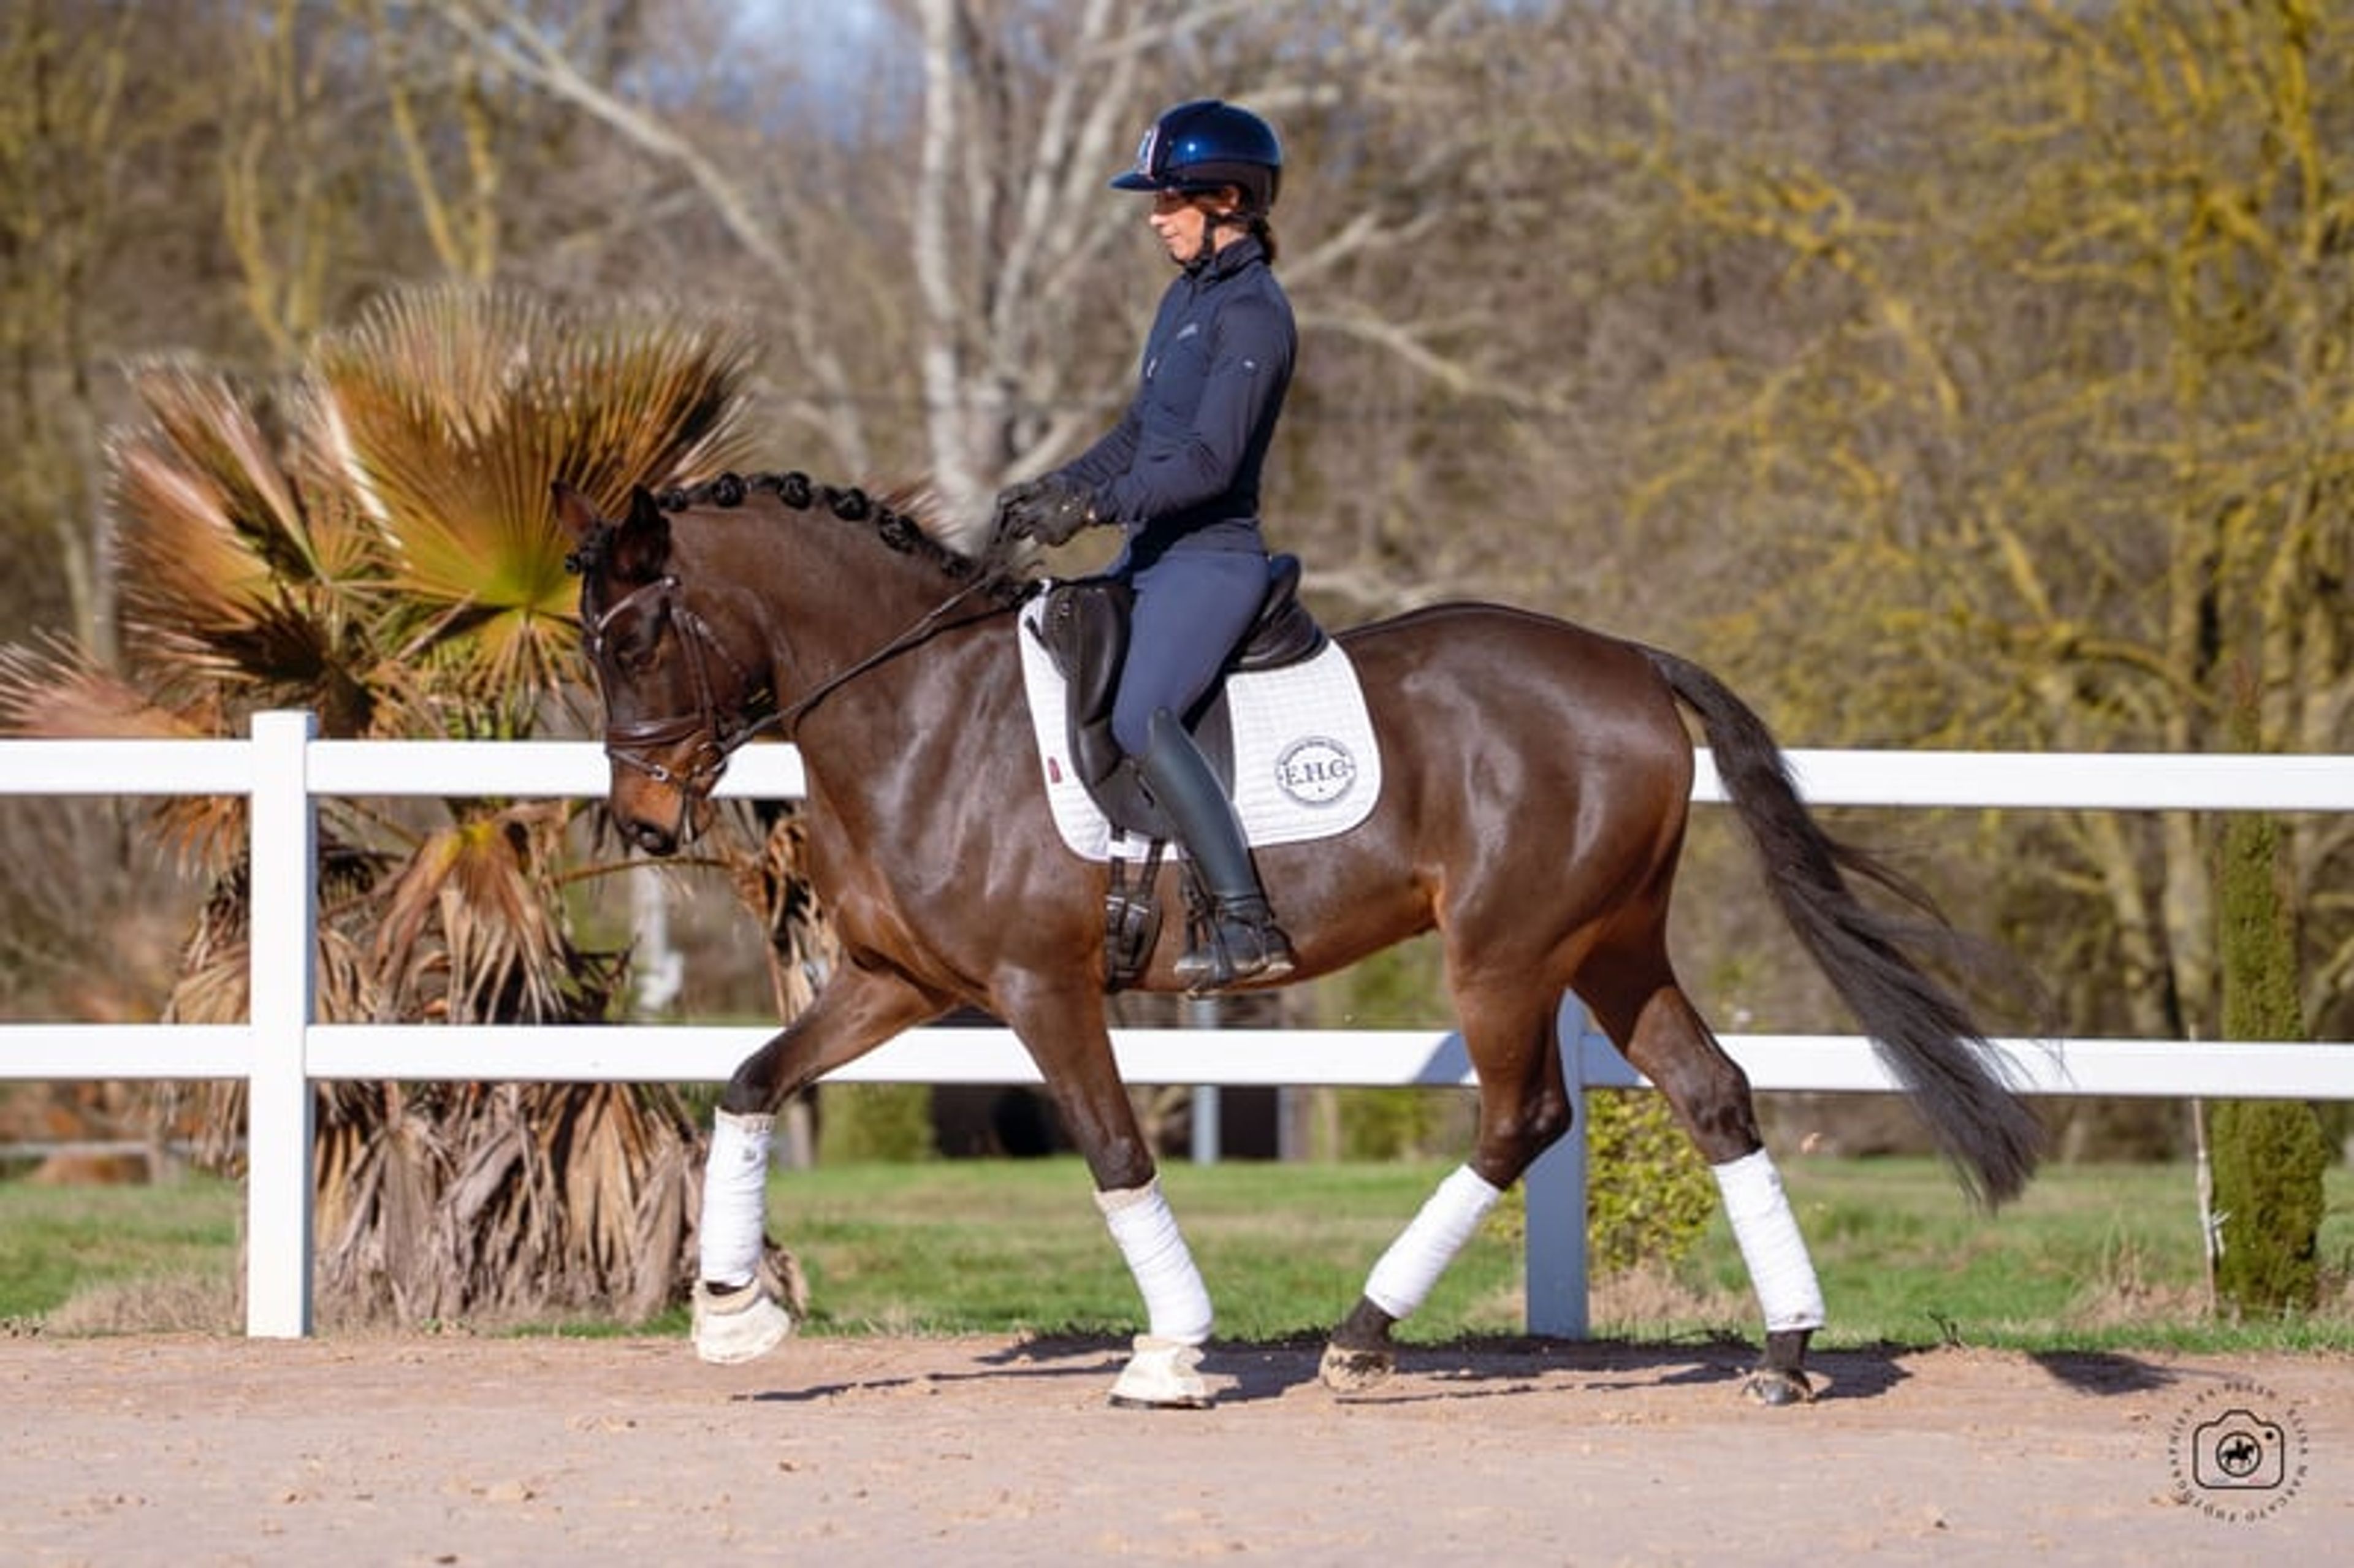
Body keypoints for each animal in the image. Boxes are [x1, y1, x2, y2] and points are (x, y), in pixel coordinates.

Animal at [552, 470, 2044, 1408]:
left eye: (631, 641)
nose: (640, 822)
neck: (921, 708)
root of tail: (1626, 660)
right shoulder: (899, 982)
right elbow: (752, 1079)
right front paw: (731, 1311)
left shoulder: (1042, 988)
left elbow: (1115, 1150)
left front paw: (1171, 1352)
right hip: (1610, 944)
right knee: (1714, 1096)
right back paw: (1786, 1348)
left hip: (1508, 951)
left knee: (1525, 1116)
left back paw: (1362, 1336)